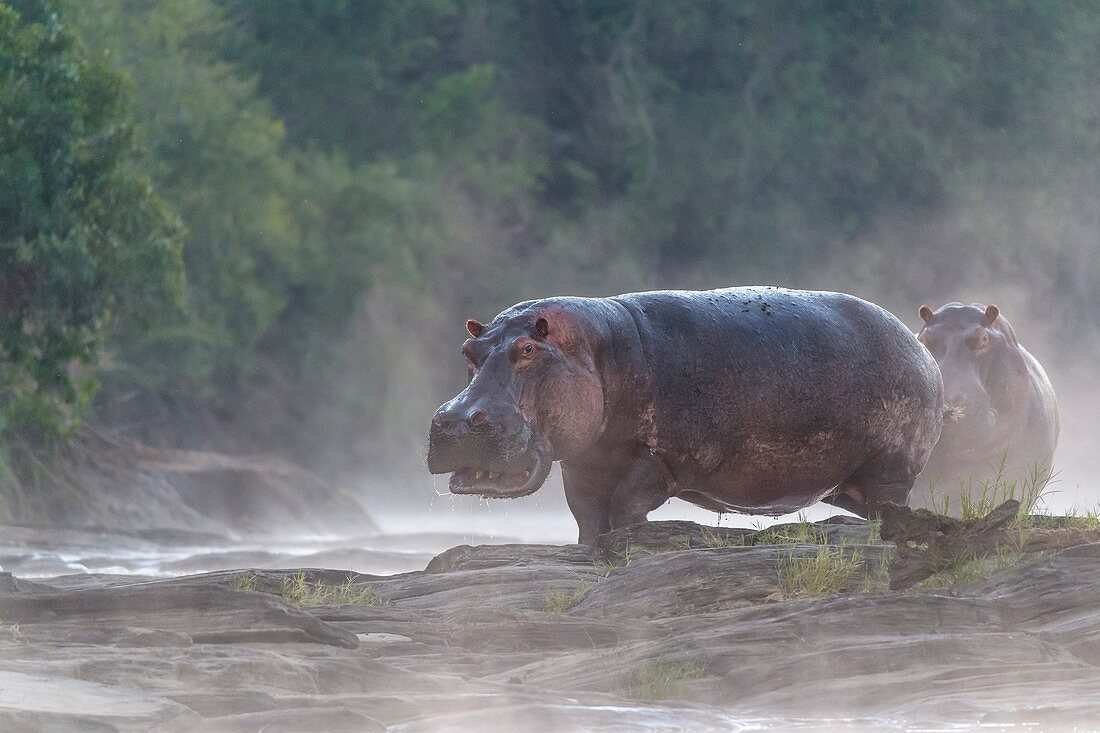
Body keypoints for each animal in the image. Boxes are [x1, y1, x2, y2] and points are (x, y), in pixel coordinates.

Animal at [424, 286, 941, 541]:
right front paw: (590, 550)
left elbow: (625, 506)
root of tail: (921, 349)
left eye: (529, 349)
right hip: (845, 483)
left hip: (891, 467)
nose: (456, 420)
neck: (598, 347)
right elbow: (587, 518)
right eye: (468, 350)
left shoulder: (663, 457)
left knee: (889, 505)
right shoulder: (584, 462)